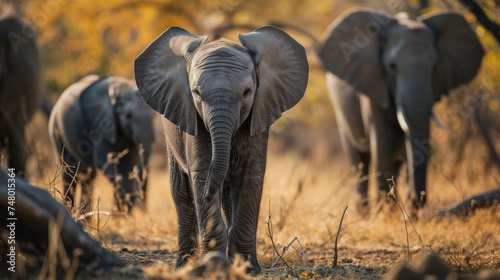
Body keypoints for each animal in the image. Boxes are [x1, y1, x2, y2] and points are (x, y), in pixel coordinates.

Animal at [49, 75, 155, 213]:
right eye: (128, 116)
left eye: (154, 116)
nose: (142, 211)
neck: (121, 89)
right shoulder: (98, 125)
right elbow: (103, 162)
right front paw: (125, 208)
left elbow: (128, 165)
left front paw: (124, 212)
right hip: (56, 130)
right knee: (69, 172)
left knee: (88, 176)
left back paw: (84, 217)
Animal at [135, 26, 310, 274]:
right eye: (196, 93)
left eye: (247, 92)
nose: (209, 192)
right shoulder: (193, 119)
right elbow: (201, 173)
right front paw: (214, 266)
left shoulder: (259, 117)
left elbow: (251, 178)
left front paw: (248, 269)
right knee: (181, 192)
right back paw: (183, 265)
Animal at [316, 8, 484, 210]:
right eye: (392, 66)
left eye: (435, 66)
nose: (417, 200)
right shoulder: (373, 87)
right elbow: (382, 146)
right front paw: (384, 212)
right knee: (358, 161)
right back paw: (363, 212)